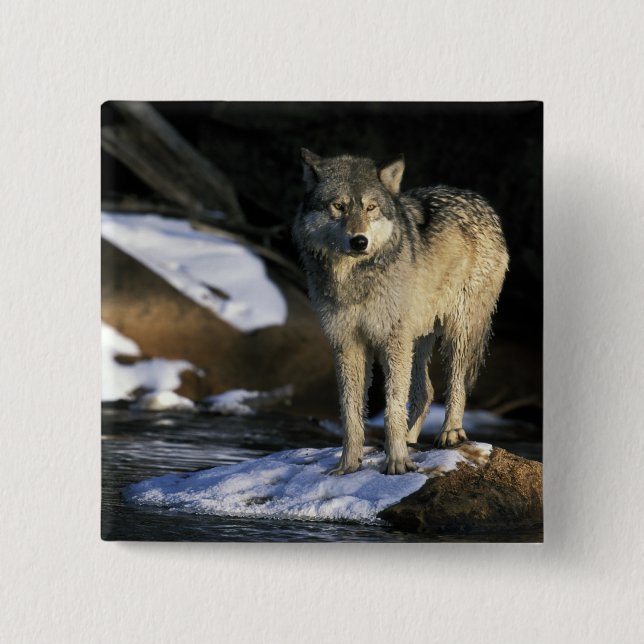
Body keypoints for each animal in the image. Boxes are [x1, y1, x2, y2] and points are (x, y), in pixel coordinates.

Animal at [293, 150, 509, 475]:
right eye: (339, 206)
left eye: (370, 207)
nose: (359, 241)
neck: (354, 279)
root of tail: (481, 202)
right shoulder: (347, 343)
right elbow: (351, 414)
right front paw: (348, 465)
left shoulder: (391, 340)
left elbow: (392, 406)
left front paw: (396, 462)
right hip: (417, 339)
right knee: (426, 391)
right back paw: (410, 439)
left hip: (456, 332)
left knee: (456, 385)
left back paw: (450, 432)